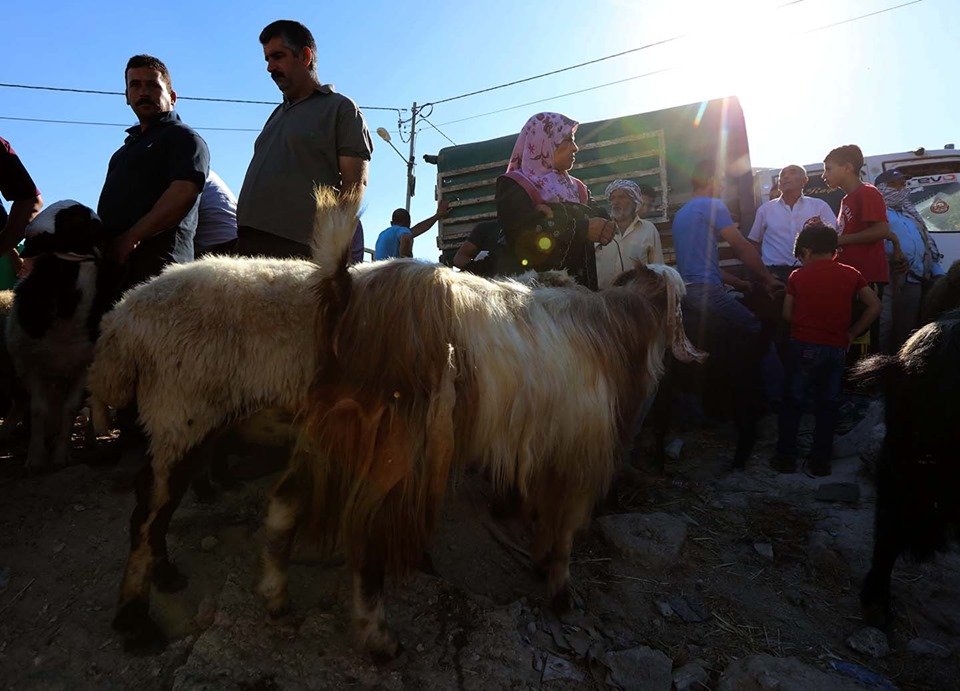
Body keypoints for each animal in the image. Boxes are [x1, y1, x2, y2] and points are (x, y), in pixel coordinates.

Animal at [87, 188, 360, 648]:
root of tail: (119, 322)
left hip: (189, 416)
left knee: (155, 500)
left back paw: (165, 574)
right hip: (180, 407)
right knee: (149, 510)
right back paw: (136, 620)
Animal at [258, 255, 708, 660]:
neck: (615, 333)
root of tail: (346, 289)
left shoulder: (546, 452)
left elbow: (543, 516)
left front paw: (540, 561)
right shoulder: (579, 457)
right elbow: (564, 530)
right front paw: (561, 592)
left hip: (329, 429)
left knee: (285, 501)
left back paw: (276, 598)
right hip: (393, 446)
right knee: (367, 535)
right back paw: (379, 639)